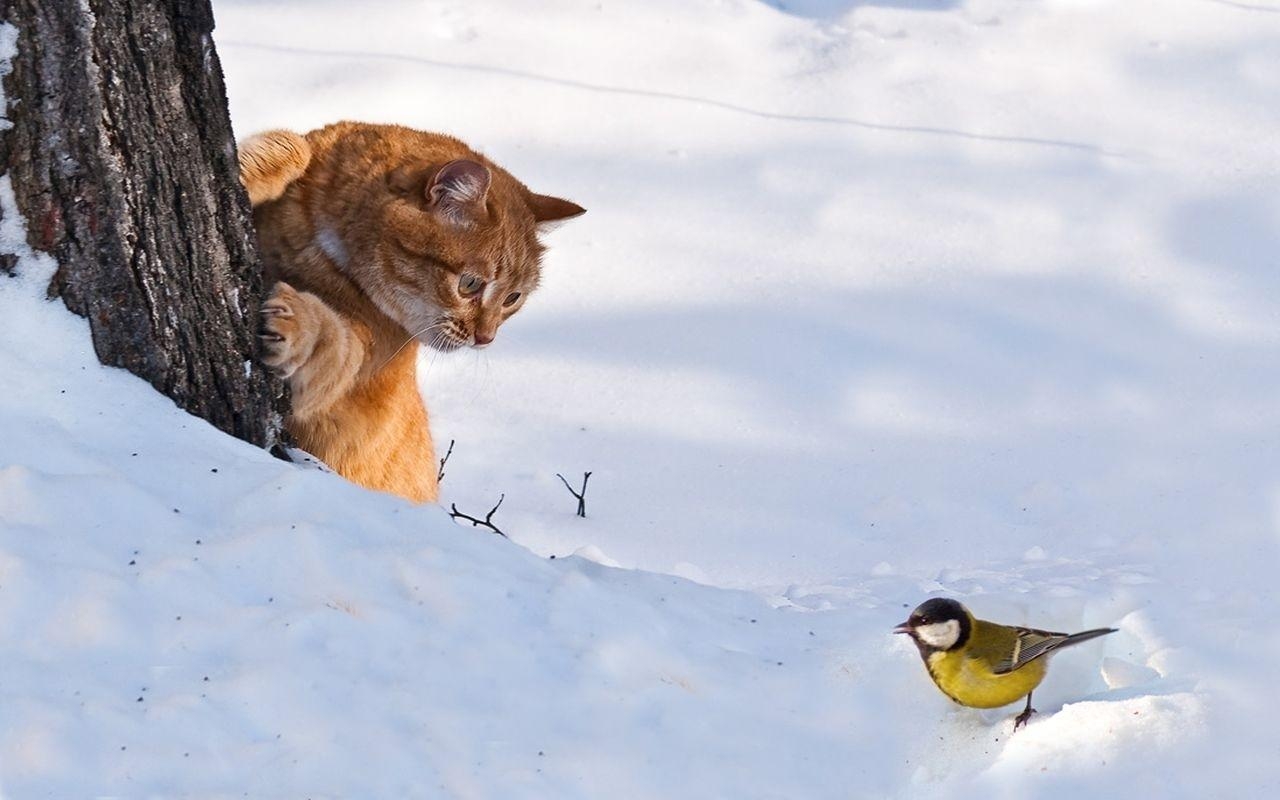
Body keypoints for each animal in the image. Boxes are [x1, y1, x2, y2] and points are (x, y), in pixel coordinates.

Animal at [236, 120, 586, 499]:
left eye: (512, 298)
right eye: (470, 284)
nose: (485, 338)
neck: (320, 248)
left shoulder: (349, 368)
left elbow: (331, 342)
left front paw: (297, 326)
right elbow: (294, 144)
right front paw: (249, 169)